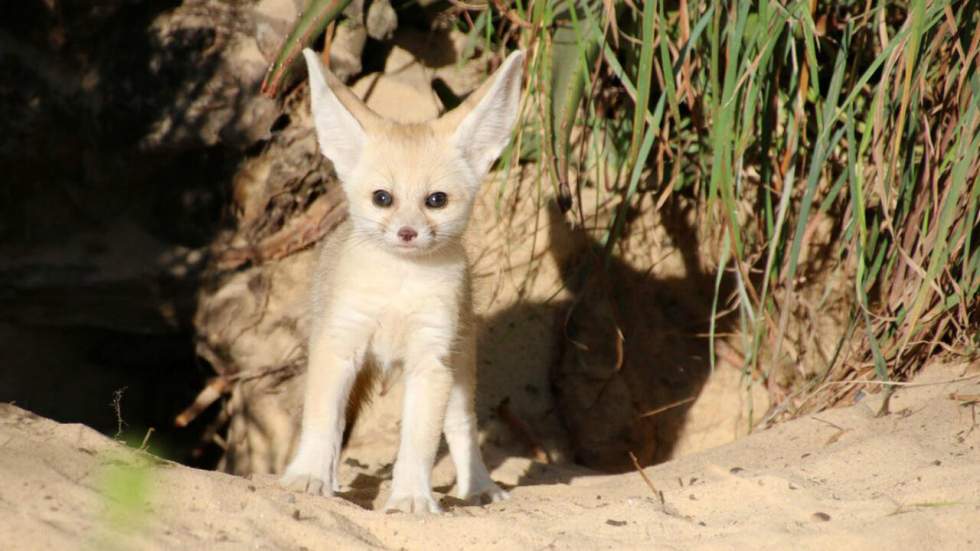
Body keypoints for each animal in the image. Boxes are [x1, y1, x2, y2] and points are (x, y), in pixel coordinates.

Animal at [278, 49, 520, 516]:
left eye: (436, 200)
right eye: (383, 198)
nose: (407, 233)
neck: (399, 289)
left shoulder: (431, 360)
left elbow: (418, 444)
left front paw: (411, 497)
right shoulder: (340, 345)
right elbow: (323, 423)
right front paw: (308, 477)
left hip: (458, 373)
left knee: (462, 429)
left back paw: (480, 487)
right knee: (338, 424)